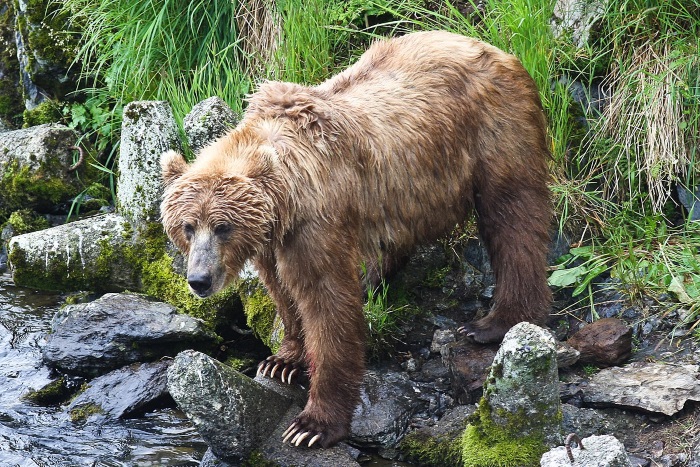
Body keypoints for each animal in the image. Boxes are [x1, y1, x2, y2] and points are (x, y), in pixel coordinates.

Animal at [160, 29, 552, 450]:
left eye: (222, 226)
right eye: (187, 226)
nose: (199, 280)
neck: (287, 197)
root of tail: (493, 48)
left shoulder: (316, 223)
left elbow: (326, 302)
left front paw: (312, 424)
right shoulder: (270, 239)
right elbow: (281, 290)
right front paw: (283, 360)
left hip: (494, 133)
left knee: (513, 218)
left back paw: (494, 322)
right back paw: (373, 279)